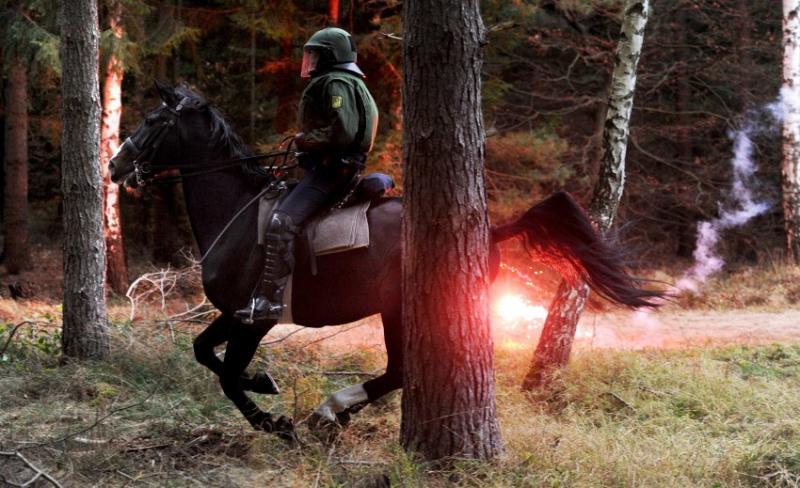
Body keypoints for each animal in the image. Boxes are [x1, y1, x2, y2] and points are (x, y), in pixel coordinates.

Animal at [109, 84, 664, 438]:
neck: (239, 212)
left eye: (154, 121)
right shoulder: (232, 314)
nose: (115, 165)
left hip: (401, 309)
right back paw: (331, 414)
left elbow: (226, 373)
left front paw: (273, 418)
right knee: (397, 371)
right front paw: (266, 390)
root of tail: (488, 228)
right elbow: (205, 353)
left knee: (397, 371)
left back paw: (327, 412)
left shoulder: (254, 318)